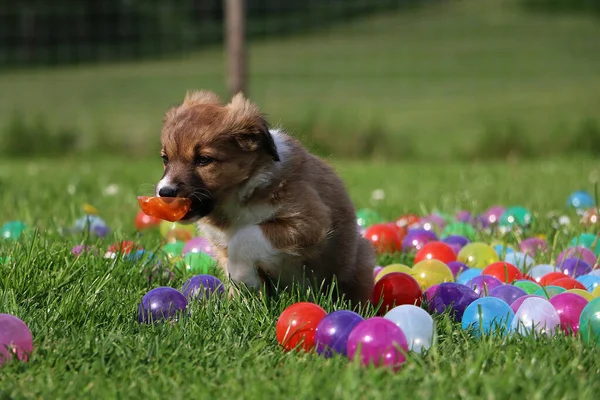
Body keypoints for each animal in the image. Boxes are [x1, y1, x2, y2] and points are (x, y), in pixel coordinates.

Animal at [157, 89, 378, 304]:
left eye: (203, 160)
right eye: (165, 158)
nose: (164, 193)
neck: (238, 198)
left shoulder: (308, 221)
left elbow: (245, 237)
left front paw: (242, 277)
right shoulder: (220, 244)